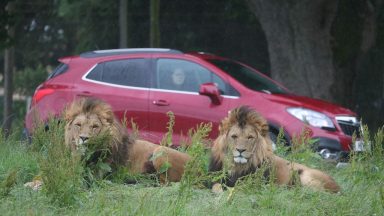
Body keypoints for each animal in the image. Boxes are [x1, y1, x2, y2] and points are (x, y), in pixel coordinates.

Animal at [208, 106, 340, 192]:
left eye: (250, 137)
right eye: (234, 136)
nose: (241, 150)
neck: (237, 166)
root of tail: (337, 186)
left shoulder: (253, 184)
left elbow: (236, 188)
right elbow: (216, 186)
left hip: (306, 176)